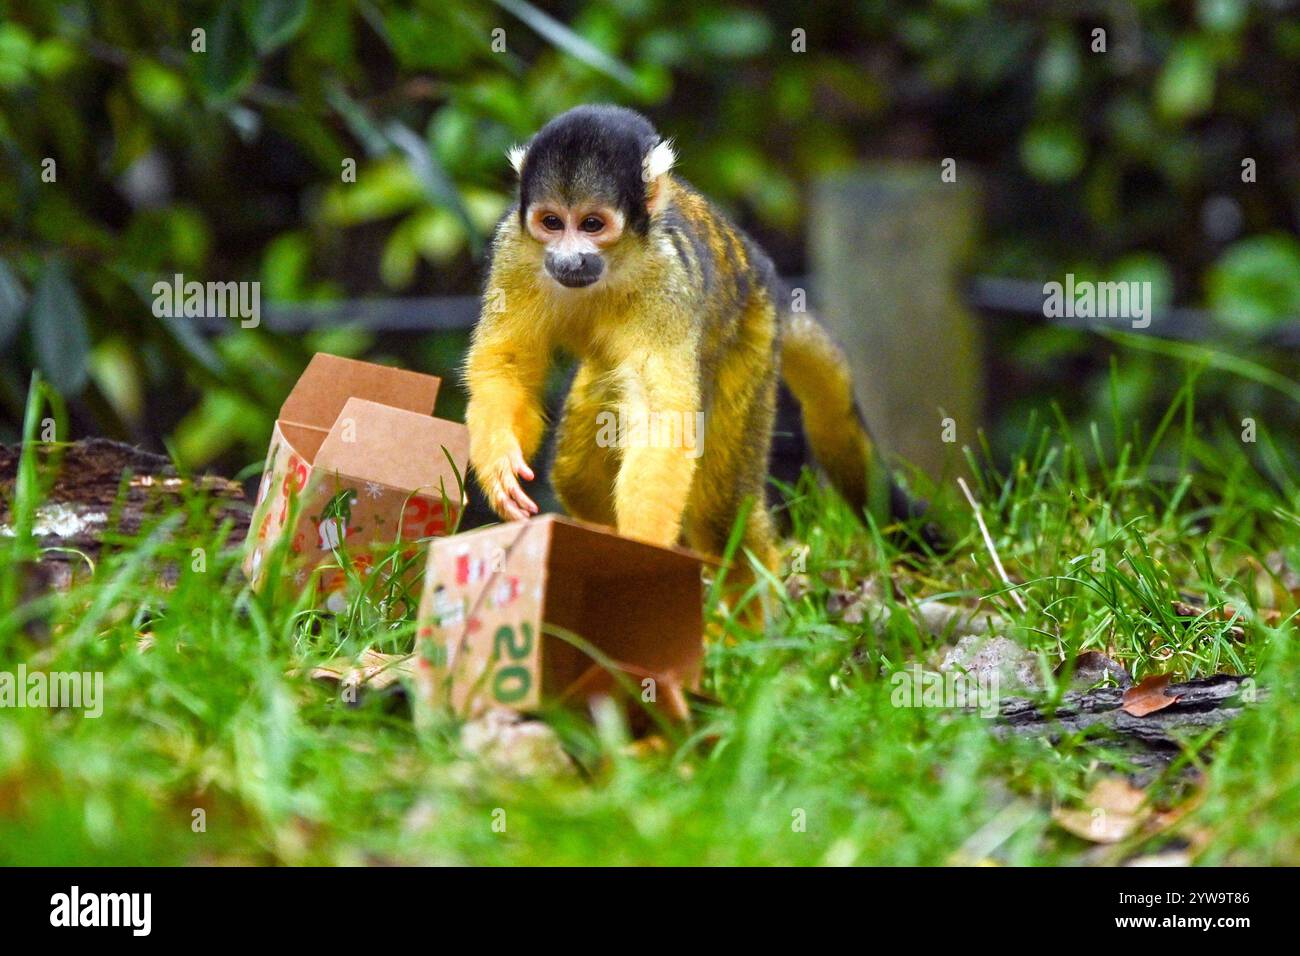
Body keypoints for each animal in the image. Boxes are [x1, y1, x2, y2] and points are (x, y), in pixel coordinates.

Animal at [467, 104, 925, 595]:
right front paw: (498, 464)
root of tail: (770, 282)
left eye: (592, 224)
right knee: (578, 474)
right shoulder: (513, 248)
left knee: (719, 511)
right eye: (552, 222)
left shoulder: (668, 277)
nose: (569, 258)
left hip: (751, 338)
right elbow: (507, 365)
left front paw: (641, 551)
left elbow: (662, 418)